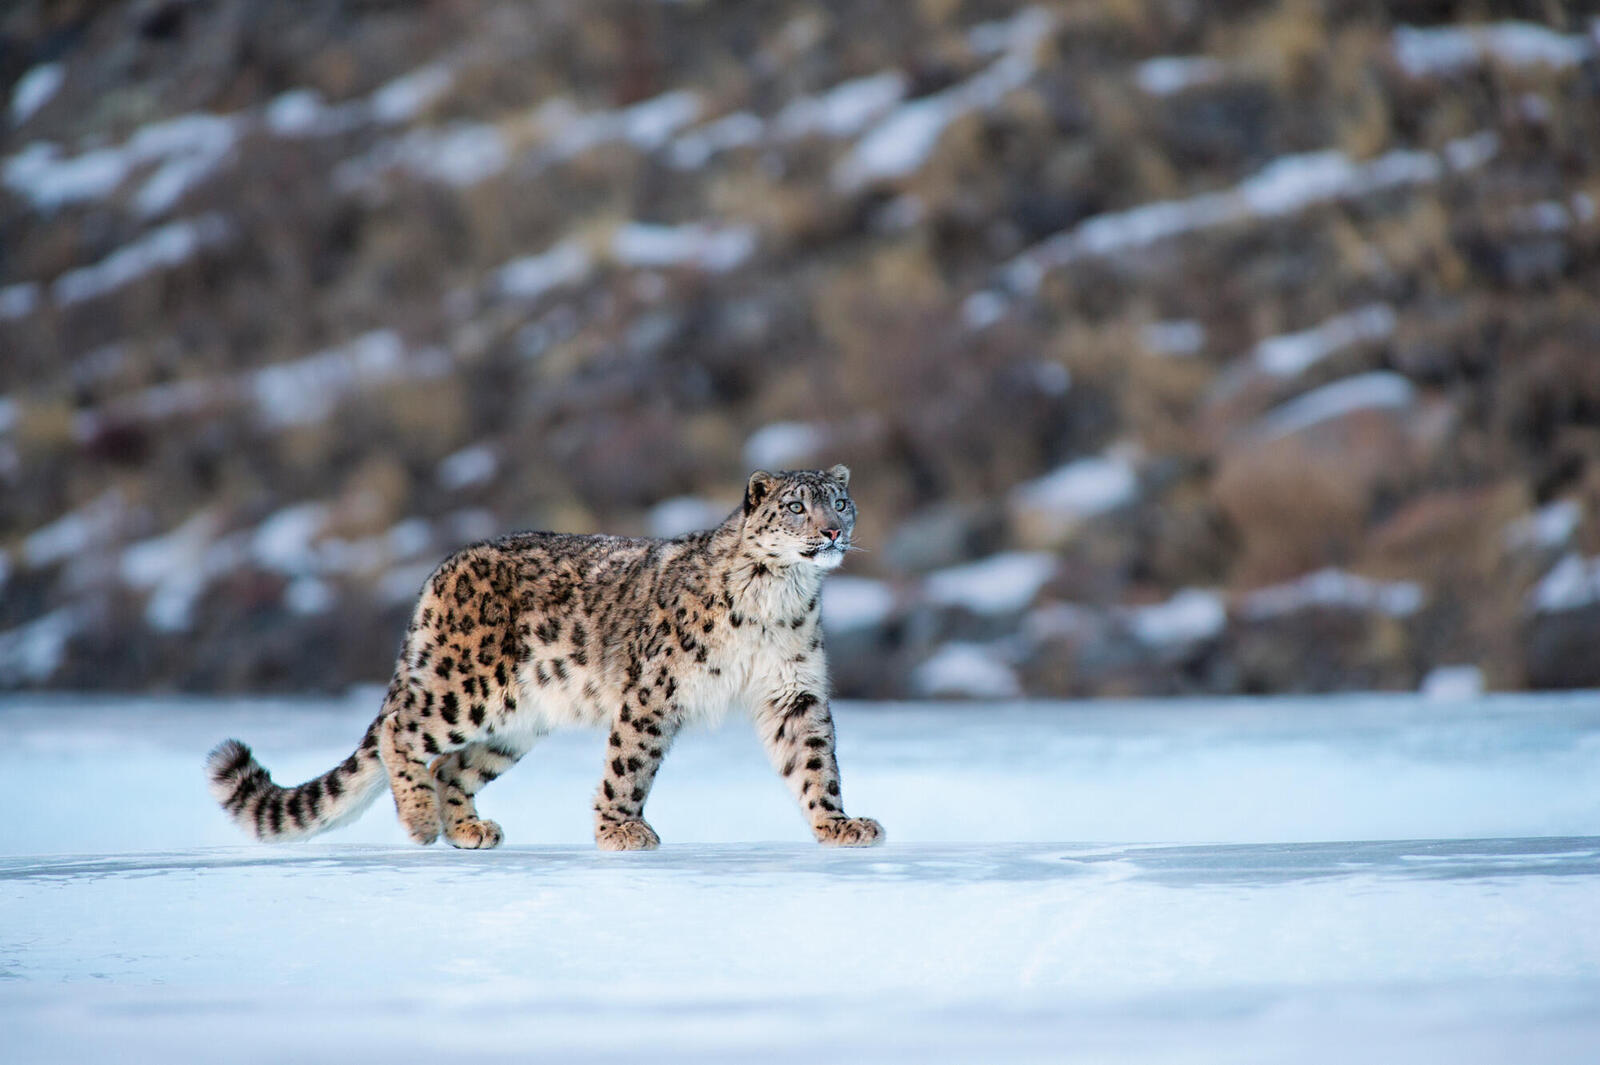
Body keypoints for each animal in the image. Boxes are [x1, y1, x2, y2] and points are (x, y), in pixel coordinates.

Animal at [204, 463, 883, 844]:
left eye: (839, 501)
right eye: (795, 505)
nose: (831, 530)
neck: (779, 597)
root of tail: (441, 571)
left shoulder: (793, 689)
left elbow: (814, 762)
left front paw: (838, 824)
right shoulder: (653, 690)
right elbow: (629, 763)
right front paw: (620, 831)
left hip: (515, 723)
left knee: (454, 767)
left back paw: (468, 830)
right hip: (465, 690)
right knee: (402, 727)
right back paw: (421, 822)